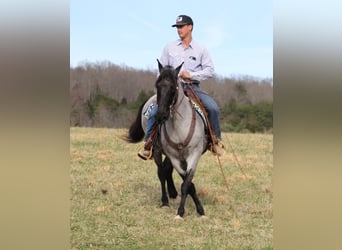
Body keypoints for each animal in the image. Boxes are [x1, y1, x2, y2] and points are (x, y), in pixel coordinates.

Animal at [124, 60, 207, 219]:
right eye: (157, 85)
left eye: (173, 87)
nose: (161, 115)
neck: (180, 126)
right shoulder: (174, 156)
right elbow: (187, 184)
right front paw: (181, 212)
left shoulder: (194, 155)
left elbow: (187, 183)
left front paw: (199, 210)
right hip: (157, 150)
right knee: (161, 173)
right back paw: (165, 200)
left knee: (167, 170)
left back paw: (173, 193)